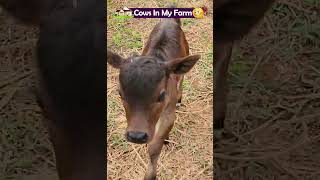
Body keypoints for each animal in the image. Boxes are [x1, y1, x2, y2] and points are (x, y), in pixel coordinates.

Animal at [107, 17, 200, 179]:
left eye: (161, 95)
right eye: (120, 93)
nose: (137, 136)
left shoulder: (169, 112)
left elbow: (155, 147)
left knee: (182, 78)